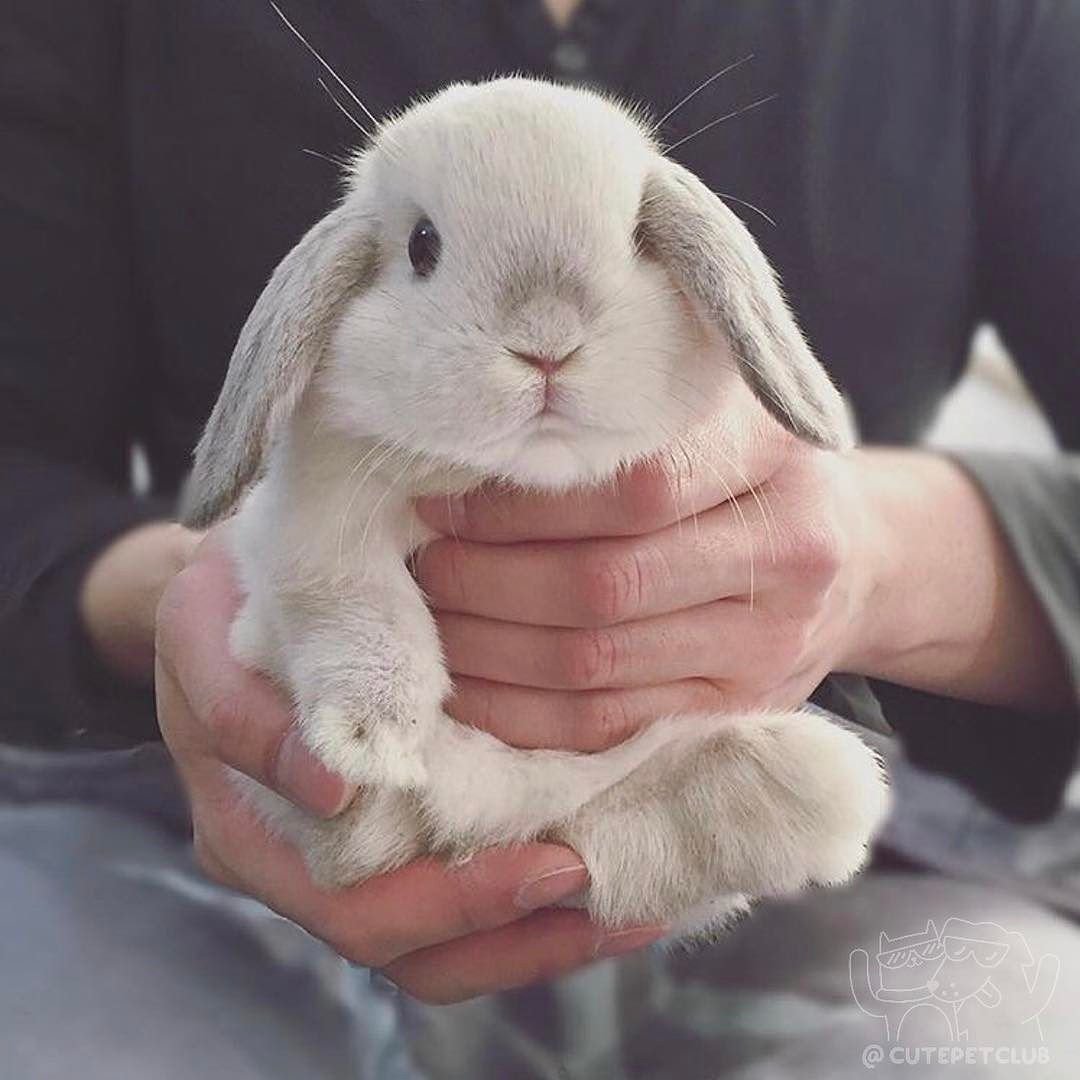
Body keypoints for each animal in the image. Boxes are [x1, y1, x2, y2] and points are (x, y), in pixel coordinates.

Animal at [181, 76, 890, 940]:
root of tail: (512, 821)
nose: (546, 345)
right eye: (422, 246)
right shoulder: (313, 526)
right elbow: (361, 613)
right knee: (359, 853)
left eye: (636, 238)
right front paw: (368, 743)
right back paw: (365, 814)